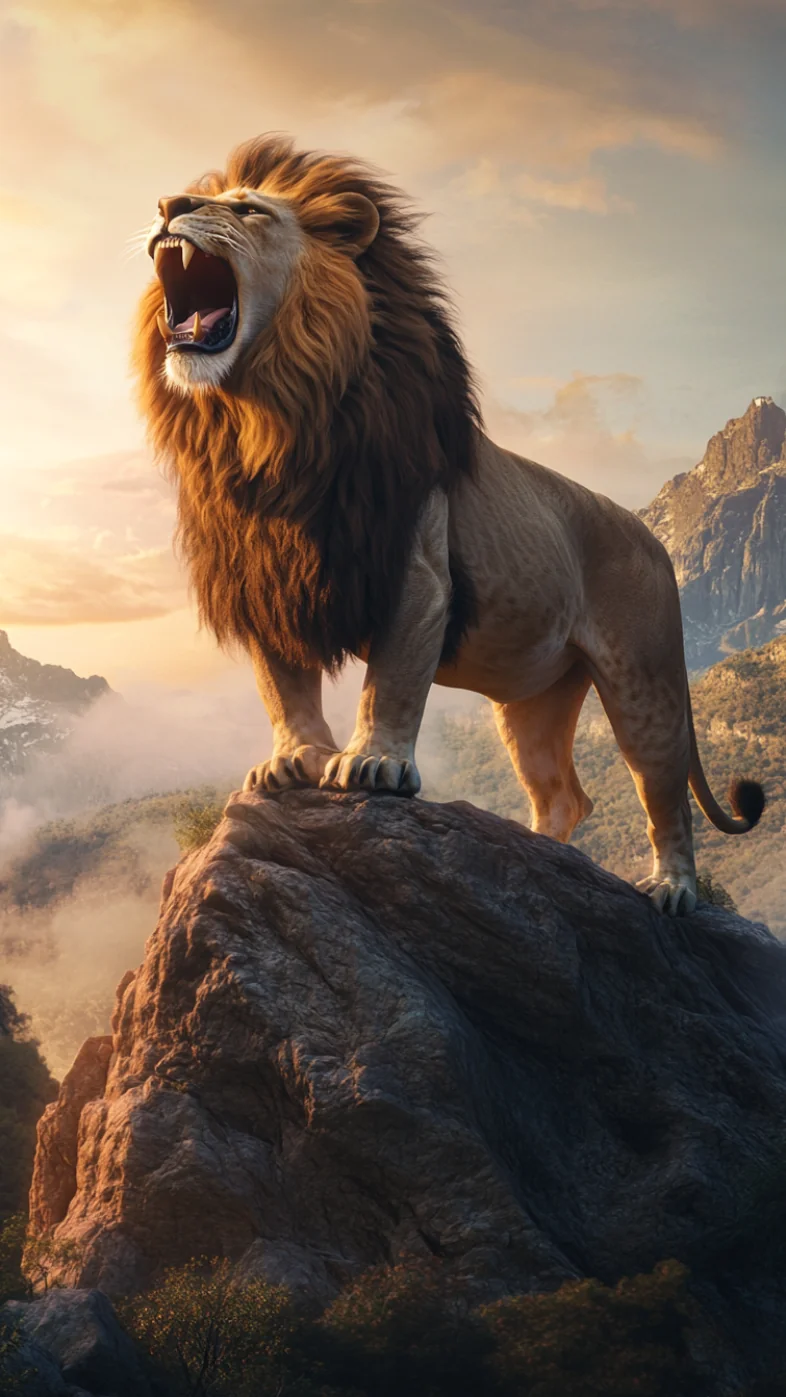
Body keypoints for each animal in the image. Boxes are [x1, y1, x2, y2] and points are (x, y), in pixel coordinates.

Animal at [133, 134, 764, 916]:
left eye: (248, 210)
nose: (169, 204)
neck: (271, 428)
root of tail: (653, 540)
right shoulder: (266, 580)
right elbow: (284, 685)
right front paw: (294, 760)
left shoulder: (418, 568)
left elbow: (392, 679)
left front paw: (372, 762)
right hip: (533, 699)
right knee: (565, 796)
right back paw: (542, 861)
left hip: (645, 677)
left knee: (663, 791)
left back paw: (671, 888)